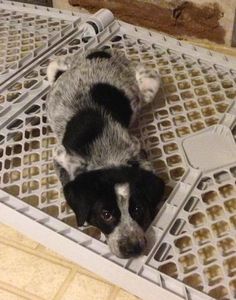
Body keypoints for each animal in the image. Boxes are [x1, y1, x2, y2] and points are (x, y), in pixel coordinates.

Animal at [45, 49, 164, 258]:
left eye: (137, 209)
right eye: (106, 215)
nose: (132, 249)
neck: (107, 154)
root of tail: (101, 53)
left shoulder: (136, 150)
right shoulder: (59, 154)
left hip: (151, 81)